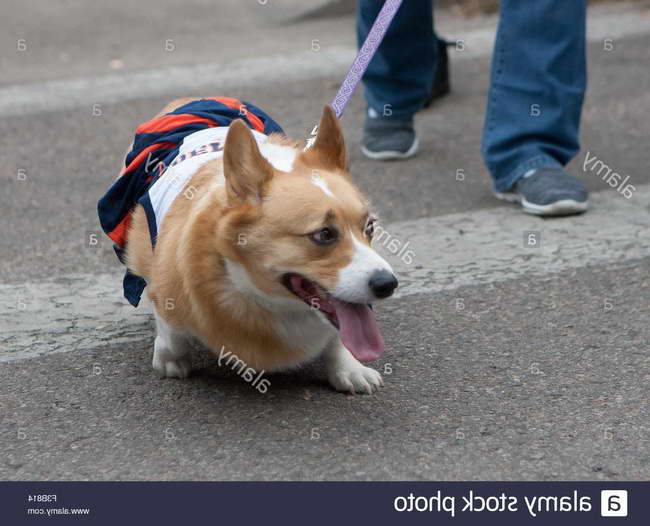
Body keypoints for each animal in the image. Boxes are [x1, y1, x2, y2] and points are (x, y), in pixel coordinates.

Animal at [119, 99, 398, 396]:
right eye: (324, 234)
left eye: (369, 227)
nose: (388, 284)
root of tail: (188, 100)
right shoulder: (165, 284)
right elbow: (171, 330)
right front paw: (169, 360)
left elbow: (338, 336)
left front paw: (349, 369)